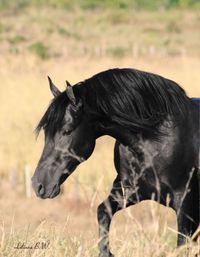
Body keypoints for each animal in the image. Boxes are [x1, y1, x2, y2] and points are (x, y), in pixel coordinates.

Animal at [32, 68, 199, 256]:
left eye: (67, 130)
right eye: (45, 130)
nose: (39, 185)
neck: (154, 138)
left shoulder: (183, 201)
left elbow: (182, 243)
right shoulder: (130, 191)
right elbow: (103, 212)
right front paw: (106, 252)